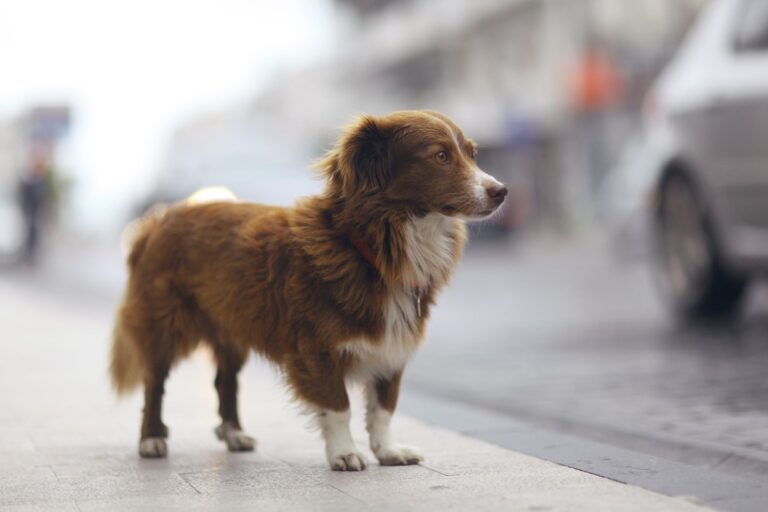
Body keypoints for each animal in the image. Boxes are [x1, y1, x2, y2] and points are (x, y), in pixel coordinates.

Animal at [108, 110, 504, 470]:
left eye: (473, 154)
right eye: (440, 155)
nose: (502, 192)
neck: (372, 246)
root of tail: (159, 220)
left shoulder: (391, 347)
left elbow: (383, 409)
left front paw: (388, 451)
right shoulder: (316, 349)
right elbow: (339, 406)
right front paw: (344, 453)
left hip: (230, 326)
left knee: (225, 382)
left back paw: (234, 434)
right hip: (164, 323)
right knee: (155, 383)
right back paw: (151, 439)